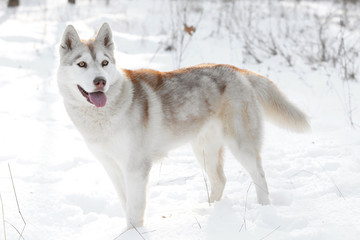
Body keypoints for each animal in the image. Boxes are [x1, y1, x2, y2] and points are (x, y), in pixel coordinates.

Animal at [57, 23, 310, 229]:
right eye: (82, 64)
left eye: (104, 63)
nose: (100, 81)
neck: (103, 117)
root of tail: (239, 71)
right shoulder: (112, 167)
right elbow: (126, 203)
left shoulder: (136, 168)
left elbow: (135, 209)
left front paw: (133, 232)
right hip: (203, 150)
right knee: (220, 180)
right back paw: (210, 210)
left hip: (241, 145)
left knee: (260, 176)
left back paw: (264, 210)